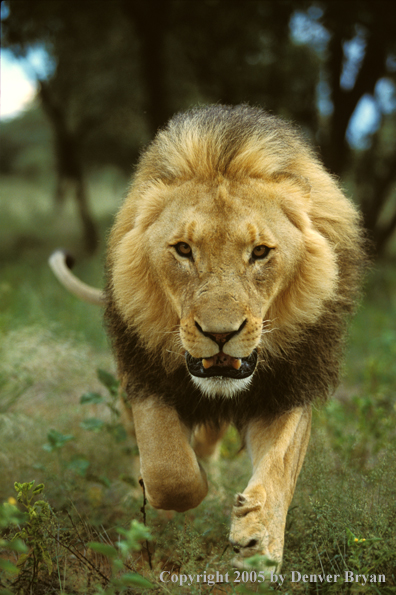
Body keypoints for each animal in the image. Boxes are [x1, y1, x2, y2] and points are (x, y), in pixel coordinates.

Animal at [49, 105, 366, 572]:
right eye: (183, 249)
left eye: (260, 252)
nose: (220, 334)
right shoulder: (147, 380)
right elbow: (169, 471)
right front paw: (177, 490)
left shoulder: (289, 387)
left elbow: (279, 464)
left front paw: (259, 540)